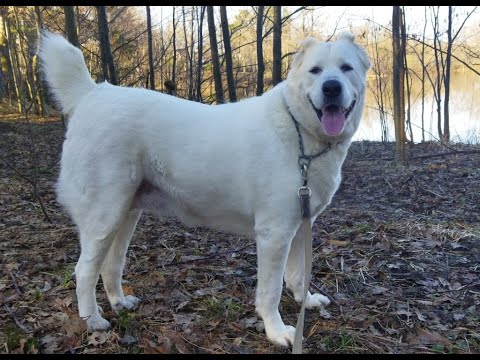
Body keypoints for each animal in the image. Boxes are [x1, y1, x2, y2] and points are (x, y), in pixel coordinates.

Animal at [39, 31, 372, 348]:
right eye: (315, 71)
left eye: (346, 68)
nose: (331, 87)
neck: (300, 131)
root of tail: (92, 93)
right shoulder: (274, 234)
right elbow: (271, 290)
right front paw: (276, 331)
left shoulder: (301, 226)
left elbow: (298, 275)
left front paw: (307, 302)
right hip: (104, 214)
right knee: (84, 270)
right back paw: (92, 320)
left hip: (125, 212)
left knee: (111, 265)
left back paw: (119, 303)